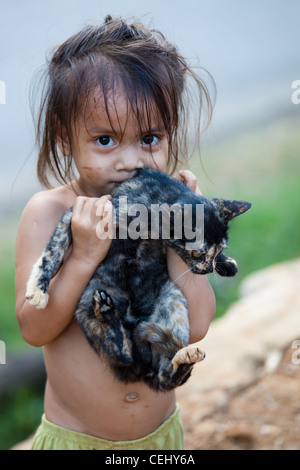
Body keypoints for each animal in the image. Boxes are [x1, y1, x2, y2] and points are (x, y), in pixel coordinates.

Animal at [25, 167, 251, 392]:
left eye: (219, 249)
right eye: (197, 253)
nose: (207, 270)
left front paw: (228, 264)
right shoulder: (75, 215)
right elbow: (53, 251)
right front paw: (38, 290)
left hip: (172, 297)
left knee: (164, 376)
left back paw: (182, 359)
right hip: (89, 300)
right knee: (122, 357)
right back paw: (108, 315)